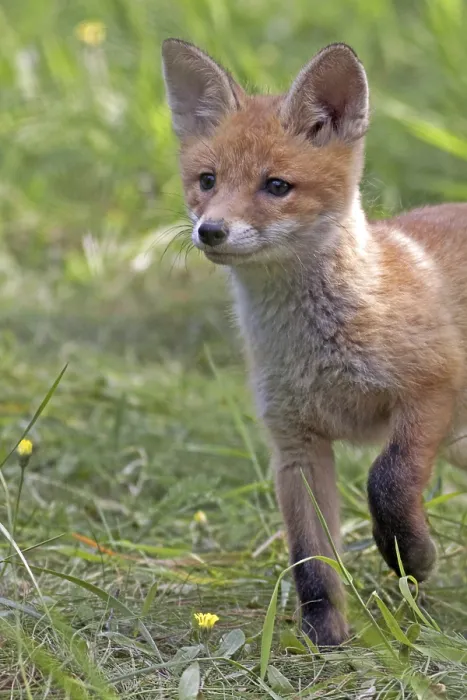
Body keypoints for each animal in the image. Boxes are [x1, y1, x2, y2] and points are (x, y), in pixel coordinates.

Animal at [162, 38, 467, 646]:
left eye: (276, 186)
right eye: (207, 180)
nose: (211, 231)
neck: (318, 352)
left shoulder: (432, 389)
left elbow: (388, 480)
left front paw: (412, 555)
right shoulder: (294, 443)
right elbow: (311, 560)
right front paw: (324, 637)